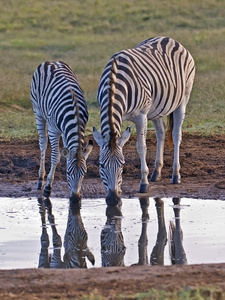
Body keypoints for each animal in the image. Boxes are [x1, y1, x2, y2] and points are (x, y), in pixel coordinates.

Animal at [30, 61, 92, 202]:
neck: (75, 114)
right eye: (68, 173)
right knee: (43, 142)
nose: (76, 198)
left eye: (84, 173)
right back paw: (40, 179)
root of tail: (52, 62)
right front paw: (48, 188)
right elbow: (55, 157)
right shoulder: (53, 130)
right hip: (38, 111)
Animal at [93, 36, 195, 205]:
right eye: (101, 165)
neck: (114, 82)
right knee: (161, 133)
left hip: (183, 98)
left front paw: (143, 183)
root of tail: (168, 38)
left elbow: (141, 147)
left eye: (122, 165)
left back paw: (175, 175)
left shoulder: (141, 116)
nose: (113, 200)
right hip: (156, 109)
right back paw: (156, 172)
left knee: (176, 135)